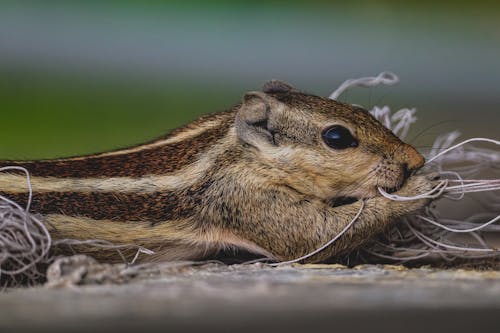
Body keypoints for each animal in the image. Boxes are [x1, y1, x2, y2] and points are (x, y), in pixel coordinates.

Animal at [0, 80, 434, 262]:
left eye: (362, 110)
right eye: (337, 136)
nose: (416, 159)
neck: (231, 147)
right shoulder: (246, 199)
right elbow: (315, 236)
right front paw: (422, 187)